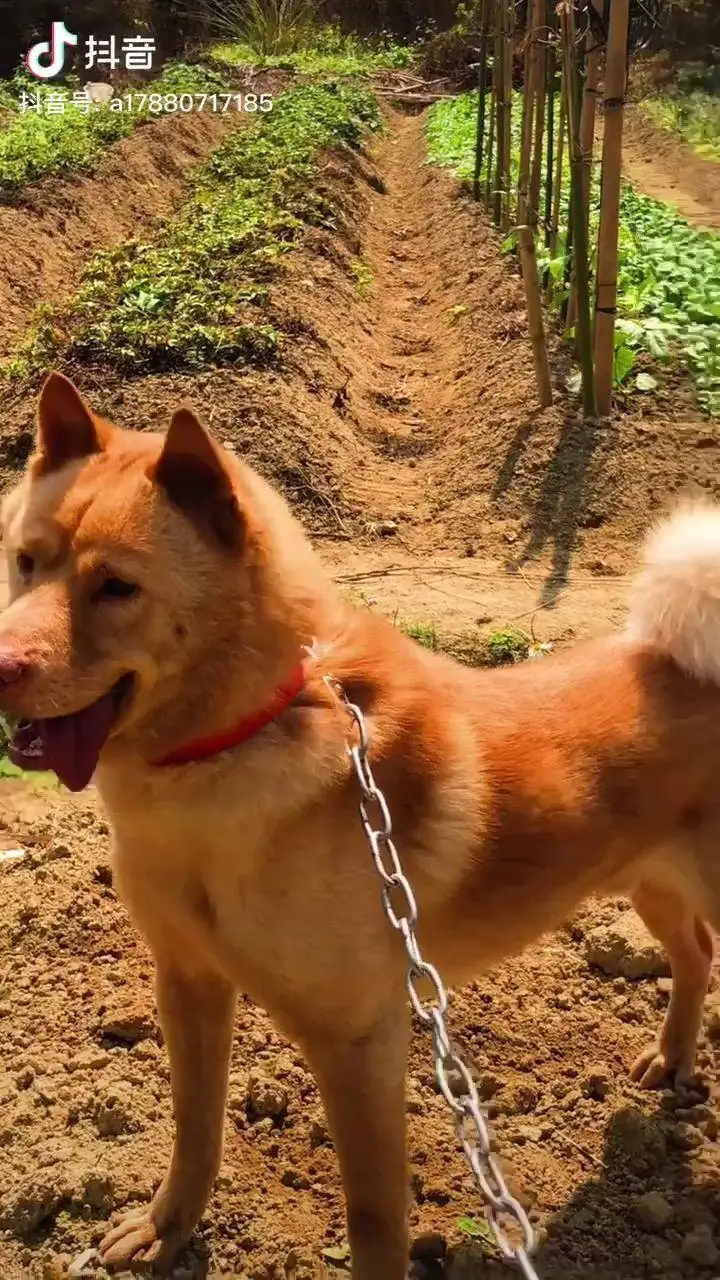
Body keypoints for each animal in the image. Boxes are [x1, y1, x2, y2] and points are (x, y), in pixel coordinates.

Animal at [1, 373, 717, 1280]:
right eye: (26, 561)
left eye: (117, 588)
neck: (241, 735)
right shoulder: (187, 982)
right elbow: (195, 1128)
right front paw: (167, 1227)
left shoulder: (359, 1044)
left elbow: (374, 1213)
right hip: (650, 881)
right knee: (695, 953)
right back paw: (673, 1056)